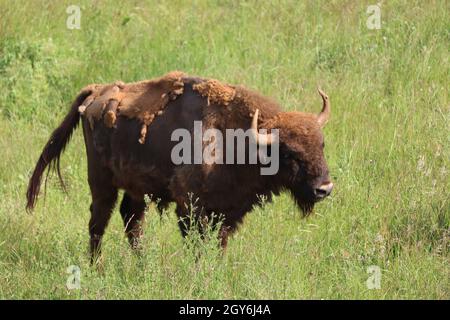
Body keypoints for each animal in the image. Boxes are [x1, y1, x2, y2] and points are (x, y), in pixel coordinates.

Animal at [25, 71, 334, 262]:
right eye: (290, 153)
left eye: (321, 145)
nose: (324, 188)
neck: (236, 138)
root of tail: (95, 93)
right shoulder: (190, 206)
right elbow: (196, 243)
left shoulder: (226, 211)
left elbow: (218, 243)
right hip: (102, 182)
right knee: (98, 222)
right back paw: (97, 268)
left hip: (135, 187)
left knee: (131, 220)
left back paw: (142, 264)